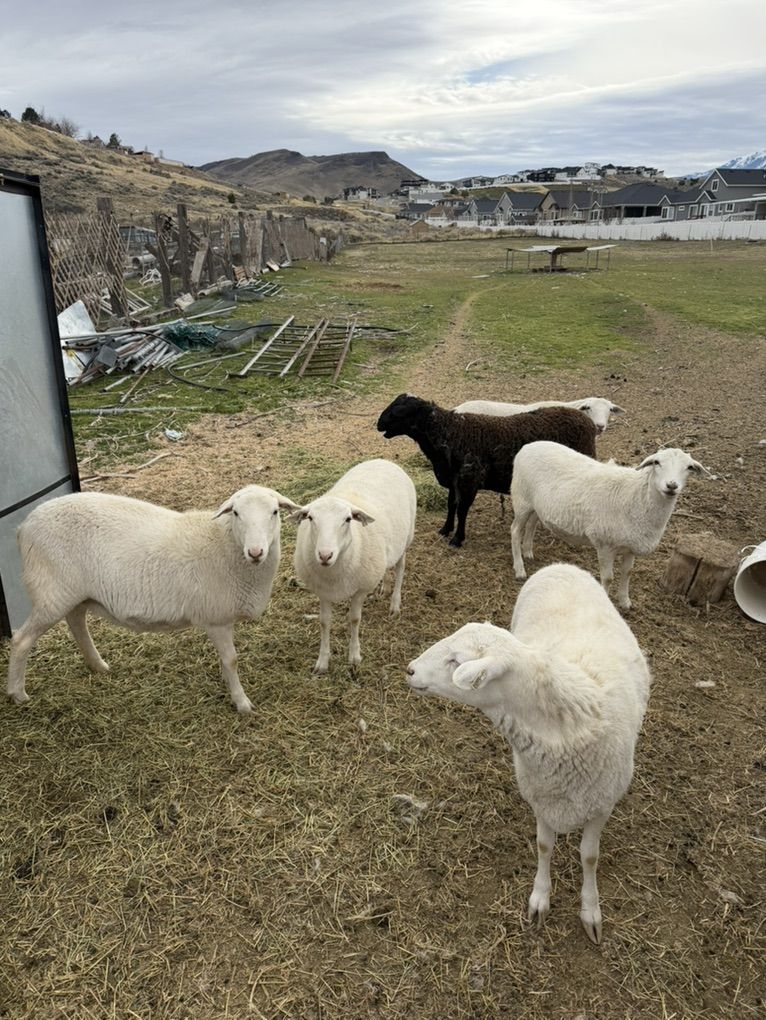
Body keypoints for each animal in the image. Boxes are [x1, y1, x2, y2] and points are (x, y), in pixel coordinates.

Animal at [6, 485, 301, 713]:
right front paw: (242, 703)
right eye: (236, 513)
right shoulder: (216, 618)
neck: (224, 543)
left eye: (274, 512)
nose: (255, 552)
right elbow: (231, 660)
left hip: (73, 594)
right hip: (51, 591)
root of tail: (23, 527)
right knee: (21, 640)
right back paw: (17, 693)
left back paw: (98, 665)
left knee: (77, 623)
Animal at [293, 458, 416, 674]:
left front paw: (354, 657)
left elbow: (354, 619)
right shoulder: (323, 592)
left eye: (348, 519)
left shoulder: (360, 590)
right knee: (386, 567)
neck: (333, 573)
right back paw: (383, 589)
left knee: (400, 568)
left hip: (406, 539)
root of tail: (383, 460)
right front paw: (322, 662)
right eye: (310, 518)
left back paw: (395, 603)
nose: (325, 555)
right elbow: (324, 622)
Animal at [376, 393, 596, 548]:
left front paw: (457, 539)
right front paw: (445, 529)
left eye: (400, 411)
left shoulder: (469, 480)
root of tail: (588, 423)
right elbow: (451, 505)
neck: (450, 433)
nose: (378, 423)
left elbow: (462, 510)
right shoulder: (455, 480)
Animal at [406, 562, 651, 943]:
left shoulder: (602, 803)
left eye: (455, 660)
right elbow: (544, 846)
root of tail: (559, 566)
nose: (411, 670)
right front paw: (540, 898)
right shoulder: (542, 796)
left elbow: (590, 857)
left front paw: (590, 909)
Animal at [511, 443, 708, 609]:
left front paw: (625, 601)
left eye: (689, 467)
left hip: (535, 505)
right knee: (515, 530)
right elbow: (608, 578)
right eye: (657, 462)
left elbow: (627, 572)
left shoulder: (631, 547)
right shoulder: (605, 544)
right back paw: (519, 568)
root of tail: (528, 446)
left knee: (532, 524)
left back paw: (528, 552)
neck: (638, 496)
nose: (671, 485)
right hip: (521, 499)